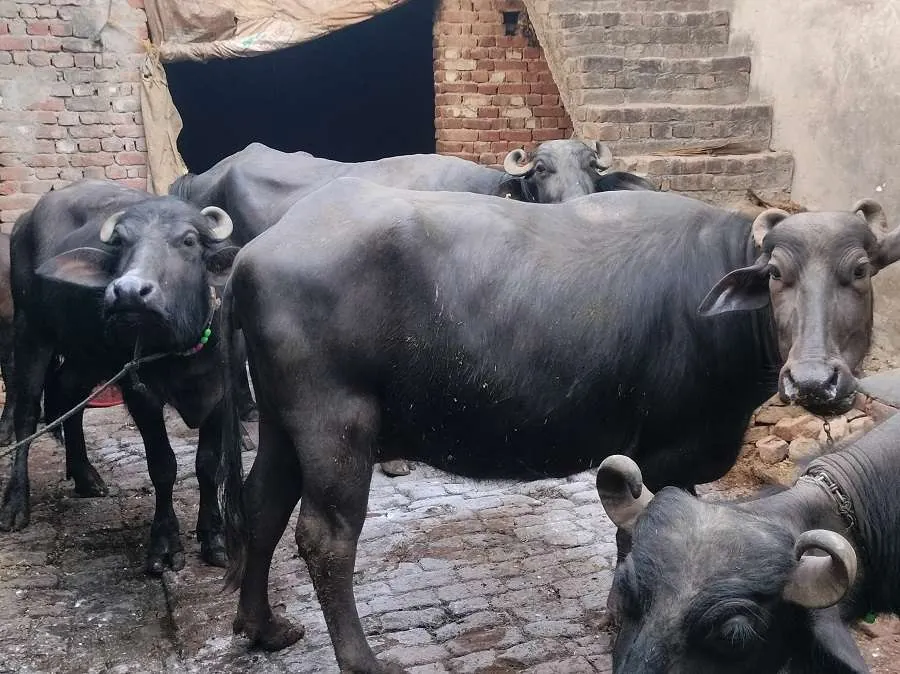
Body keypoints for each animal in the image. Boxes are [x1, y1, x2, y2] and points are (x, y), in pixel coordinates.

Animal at [0, 180, 238, 574]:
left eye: (189, 240)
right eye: (123, 242)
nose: (127, 291)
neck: (180, 346)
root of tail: (22, 224)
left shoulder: (220, 393)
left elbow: (208, 466)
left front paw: (214, 538)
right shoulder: (140, 394)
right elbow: (163, 466)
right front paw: (164, 545)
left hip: (86, 352)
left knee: (67, 396)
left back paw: (85, 475)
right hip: (30, 330)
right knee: (27, 414)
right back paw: (16, 503)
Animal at [218, 181, 899, 671]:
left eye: (860, 270)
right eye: (778, 273)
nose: (812, 381)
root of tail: (252, 254)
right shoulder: (668, 455)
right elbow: (634, 532)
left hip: (281, 421)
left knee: (262, 504)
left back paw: (262, 627)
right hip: (335, 422)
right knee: (325, 536)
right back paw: (362, 660)